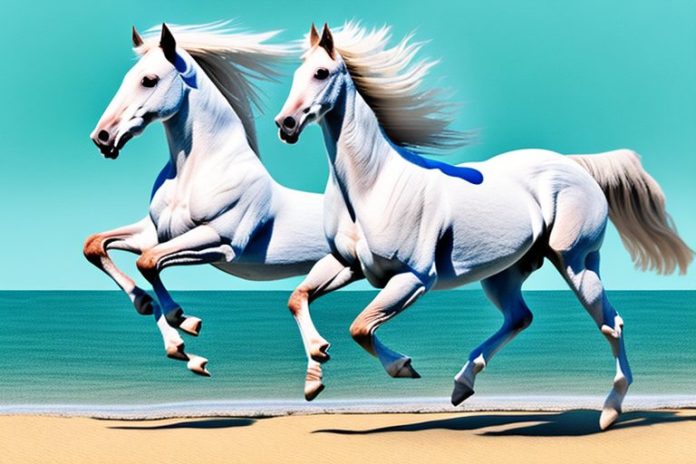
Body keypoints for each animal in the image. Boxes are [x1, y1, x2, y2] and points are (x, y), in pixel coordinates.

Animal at [86, 22, 335, 380]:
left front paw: (184, 321)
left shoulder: (220, 241)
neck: (194, 171)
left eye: (149, 80)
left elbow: (148, 262)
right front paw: (168, 332)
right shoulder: (156, 234)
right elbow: (96, 245)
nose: (102, 137)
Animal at [275, 22, 693, 429]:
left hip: (576, 262)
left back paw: (610, 412)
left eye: (321, 72)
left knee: (611, 324)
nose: (286, 124)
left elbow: (361, 326)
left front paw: (404, 366)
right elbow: (298, 298)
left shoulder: (414, 278)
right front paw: (315, 372)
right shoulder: (346, 265)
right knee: (521, 317)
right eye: (296, 72)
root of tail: (577, 166)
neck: (374, 184)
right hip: (503, 274)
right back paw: (462, 385)